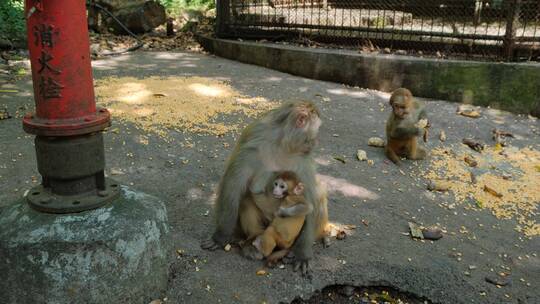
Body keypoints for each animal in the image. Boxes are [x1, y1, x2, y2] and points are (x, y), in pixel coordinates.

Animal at [202, 101, 330, 276]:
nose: (316, 142)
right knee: (245, 200)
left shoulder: (303, 161)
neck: (282, 145)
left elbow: (311, 201)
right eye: (316, 131)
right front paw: (220, 237)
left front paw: (302, 254)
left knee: (319, 195)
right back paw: (253, 242)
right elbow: (233, 187)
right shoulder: (253, 144)